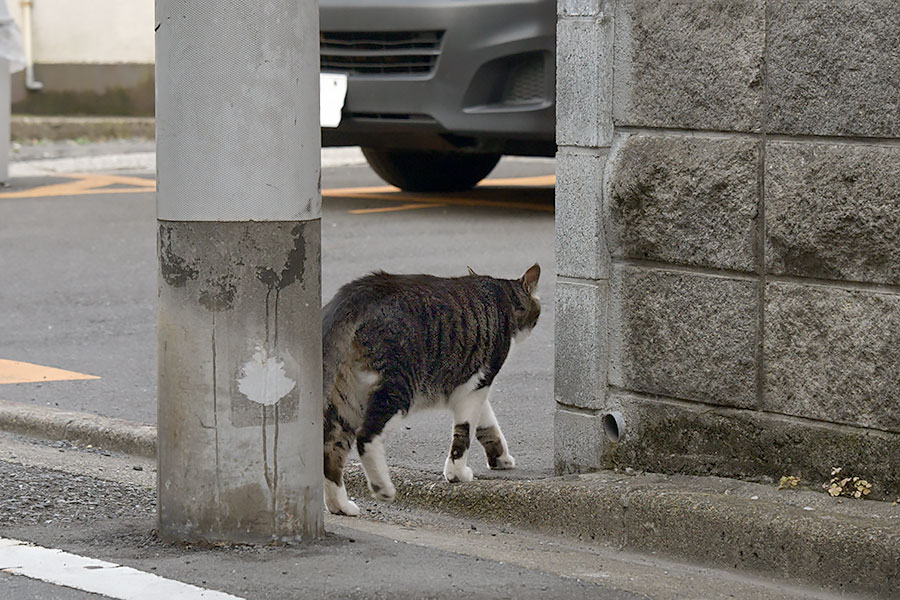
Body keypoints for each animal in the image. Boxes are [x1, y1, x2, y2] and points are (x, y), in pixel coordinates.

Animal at [324, 264, 540, 512]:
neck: (501, 296)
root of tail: (356, 293)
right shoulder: (479, 384)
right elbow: (464, 433)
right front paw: (457, 474)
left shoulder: (473, 386)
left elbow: (486, 424)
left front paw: (500, 458)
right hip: (396, 388)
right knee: (365, 437)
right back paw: (382, 488)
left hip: (347, 400)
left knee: (331, 448)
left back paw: (340, 506)